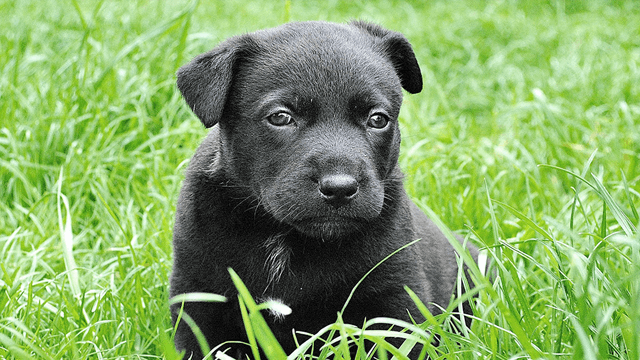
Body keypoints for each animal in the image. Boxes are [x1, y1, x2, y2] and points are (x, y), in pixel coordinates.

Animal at [171, 21, 480, 358]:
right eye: (280, 117)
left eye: (377, 119)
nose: (340, 188)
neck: (283, 237)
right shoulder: (198, 297)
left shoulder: (395, 297)